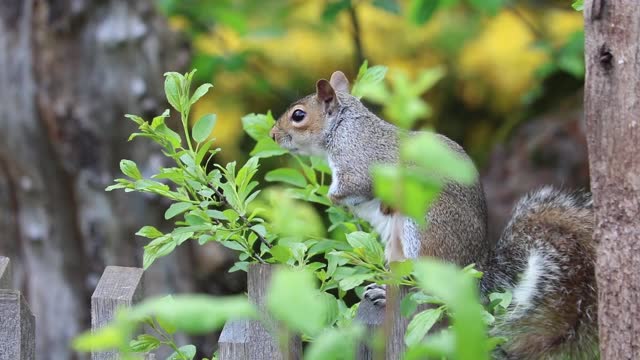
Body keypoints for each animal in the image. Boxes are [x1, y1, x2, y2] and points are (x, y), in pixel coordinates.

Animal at [268, 71, 596, 360]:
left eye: (298, 115)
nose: (272, 134)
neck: (343, 128)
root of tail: (476, 275)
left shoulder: (359, 162)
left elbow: (351, 187)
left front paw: (334, 198)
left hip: (423, 229)